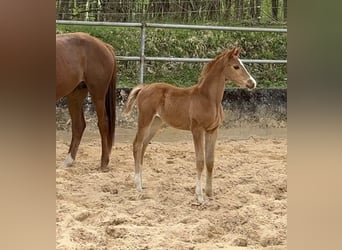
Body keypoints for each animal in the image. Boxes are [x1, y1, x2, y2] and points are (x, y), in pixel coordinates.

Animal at [55, 32, 116, 171]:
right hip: (76, 95)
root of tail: (105, 45)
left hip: (98, 95)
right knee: (79, 125)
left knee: (103, 124)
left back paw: (104, 163)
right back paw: (68, 161)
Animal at [124, 47, 255, 203]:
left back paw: (142, 182)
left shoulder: (213, 130)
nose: (252, 83)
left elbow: (210, 161)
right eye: (236, 66)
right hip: (145, 119)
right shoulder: (197, 130)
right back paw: (138, 185)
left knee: (143, 145)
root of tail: (144, 88)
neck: (208, 99)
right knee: (137, 144)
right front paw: (199, 196)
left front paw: (210, 193)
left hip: (156, 122)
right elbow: (200, 161)